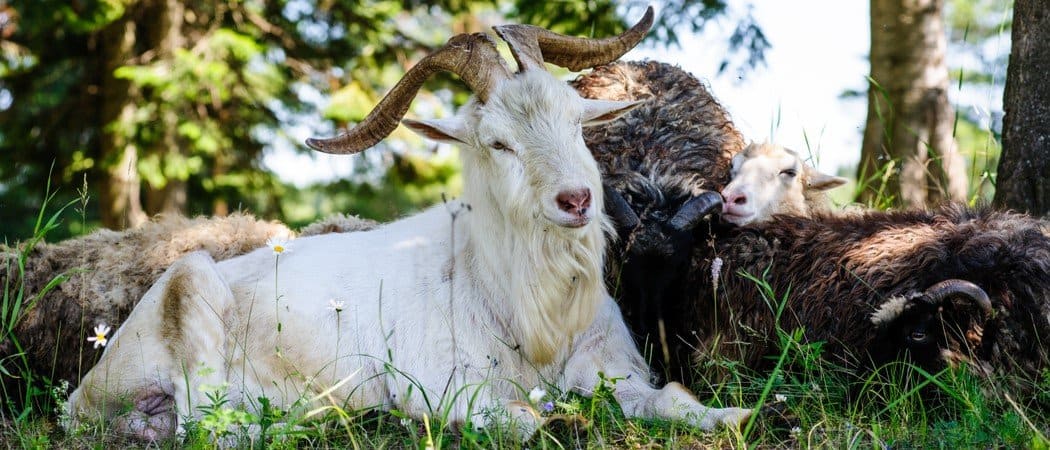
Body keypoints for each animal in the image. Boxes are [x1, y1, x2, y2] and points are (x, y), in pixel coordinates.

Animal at [66, 11, 751, 441]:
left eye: (576, 121)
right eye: (498, 142)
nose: (577, 199)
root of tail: (83, 393)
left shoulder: (609, 365)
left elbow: (670, 399)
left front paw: (733, 418)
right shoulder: (444, 387)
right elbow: (527, 419)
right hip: (191, 284)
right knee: (212, 427)